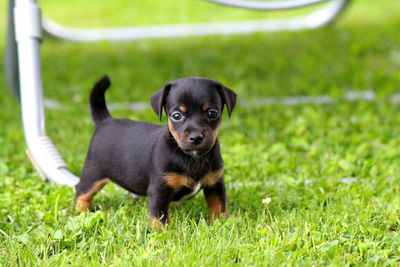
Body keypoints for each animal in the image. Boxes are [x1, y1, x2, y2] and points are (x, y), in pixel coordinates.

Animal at [76, 75, 236, 228]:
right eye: (176, 115)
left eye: (212, 113)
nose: (196, 137)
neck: (191, 157)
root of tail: (104, 121)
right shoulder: (159, 190)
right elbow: (160, 218)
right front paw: (164, 235)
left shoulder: (215, 184)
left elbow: (219, 207)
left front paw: (221, 225)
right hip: (93, 173)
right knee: (81, 191)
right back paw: (82, 212)